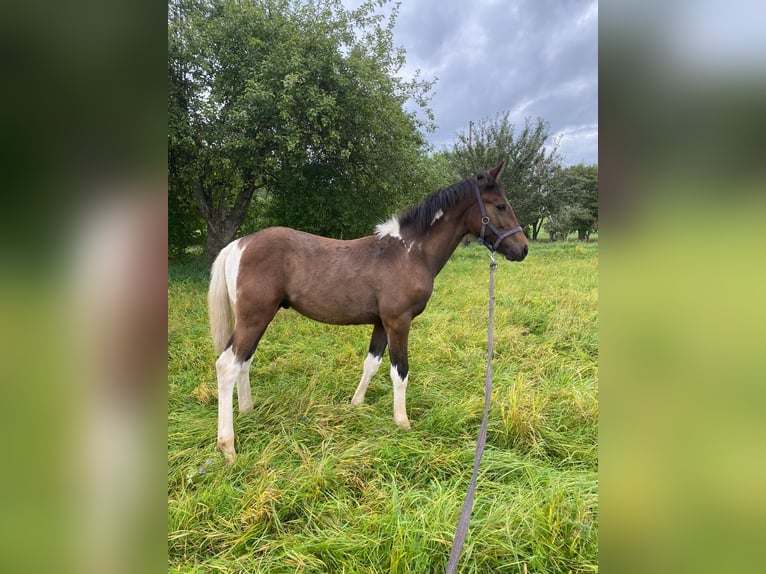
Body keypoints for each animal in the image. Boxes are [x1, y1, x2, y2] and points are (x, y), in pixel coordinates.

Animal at [208, 162, 528, 464]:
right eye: (501, 205)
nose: (522, 249)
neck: (410, 252)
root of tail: (239, 244)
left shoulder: (382, 323)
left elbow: (371, 364)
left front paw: (356, 404)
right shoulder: (399, 322)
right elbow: (400, 371)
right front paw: (402, 423)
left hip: (259, 319)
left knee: (244, 361)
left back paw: (248, 411)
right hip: (254, 318)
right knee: (227, 365)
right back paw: (228, 448)